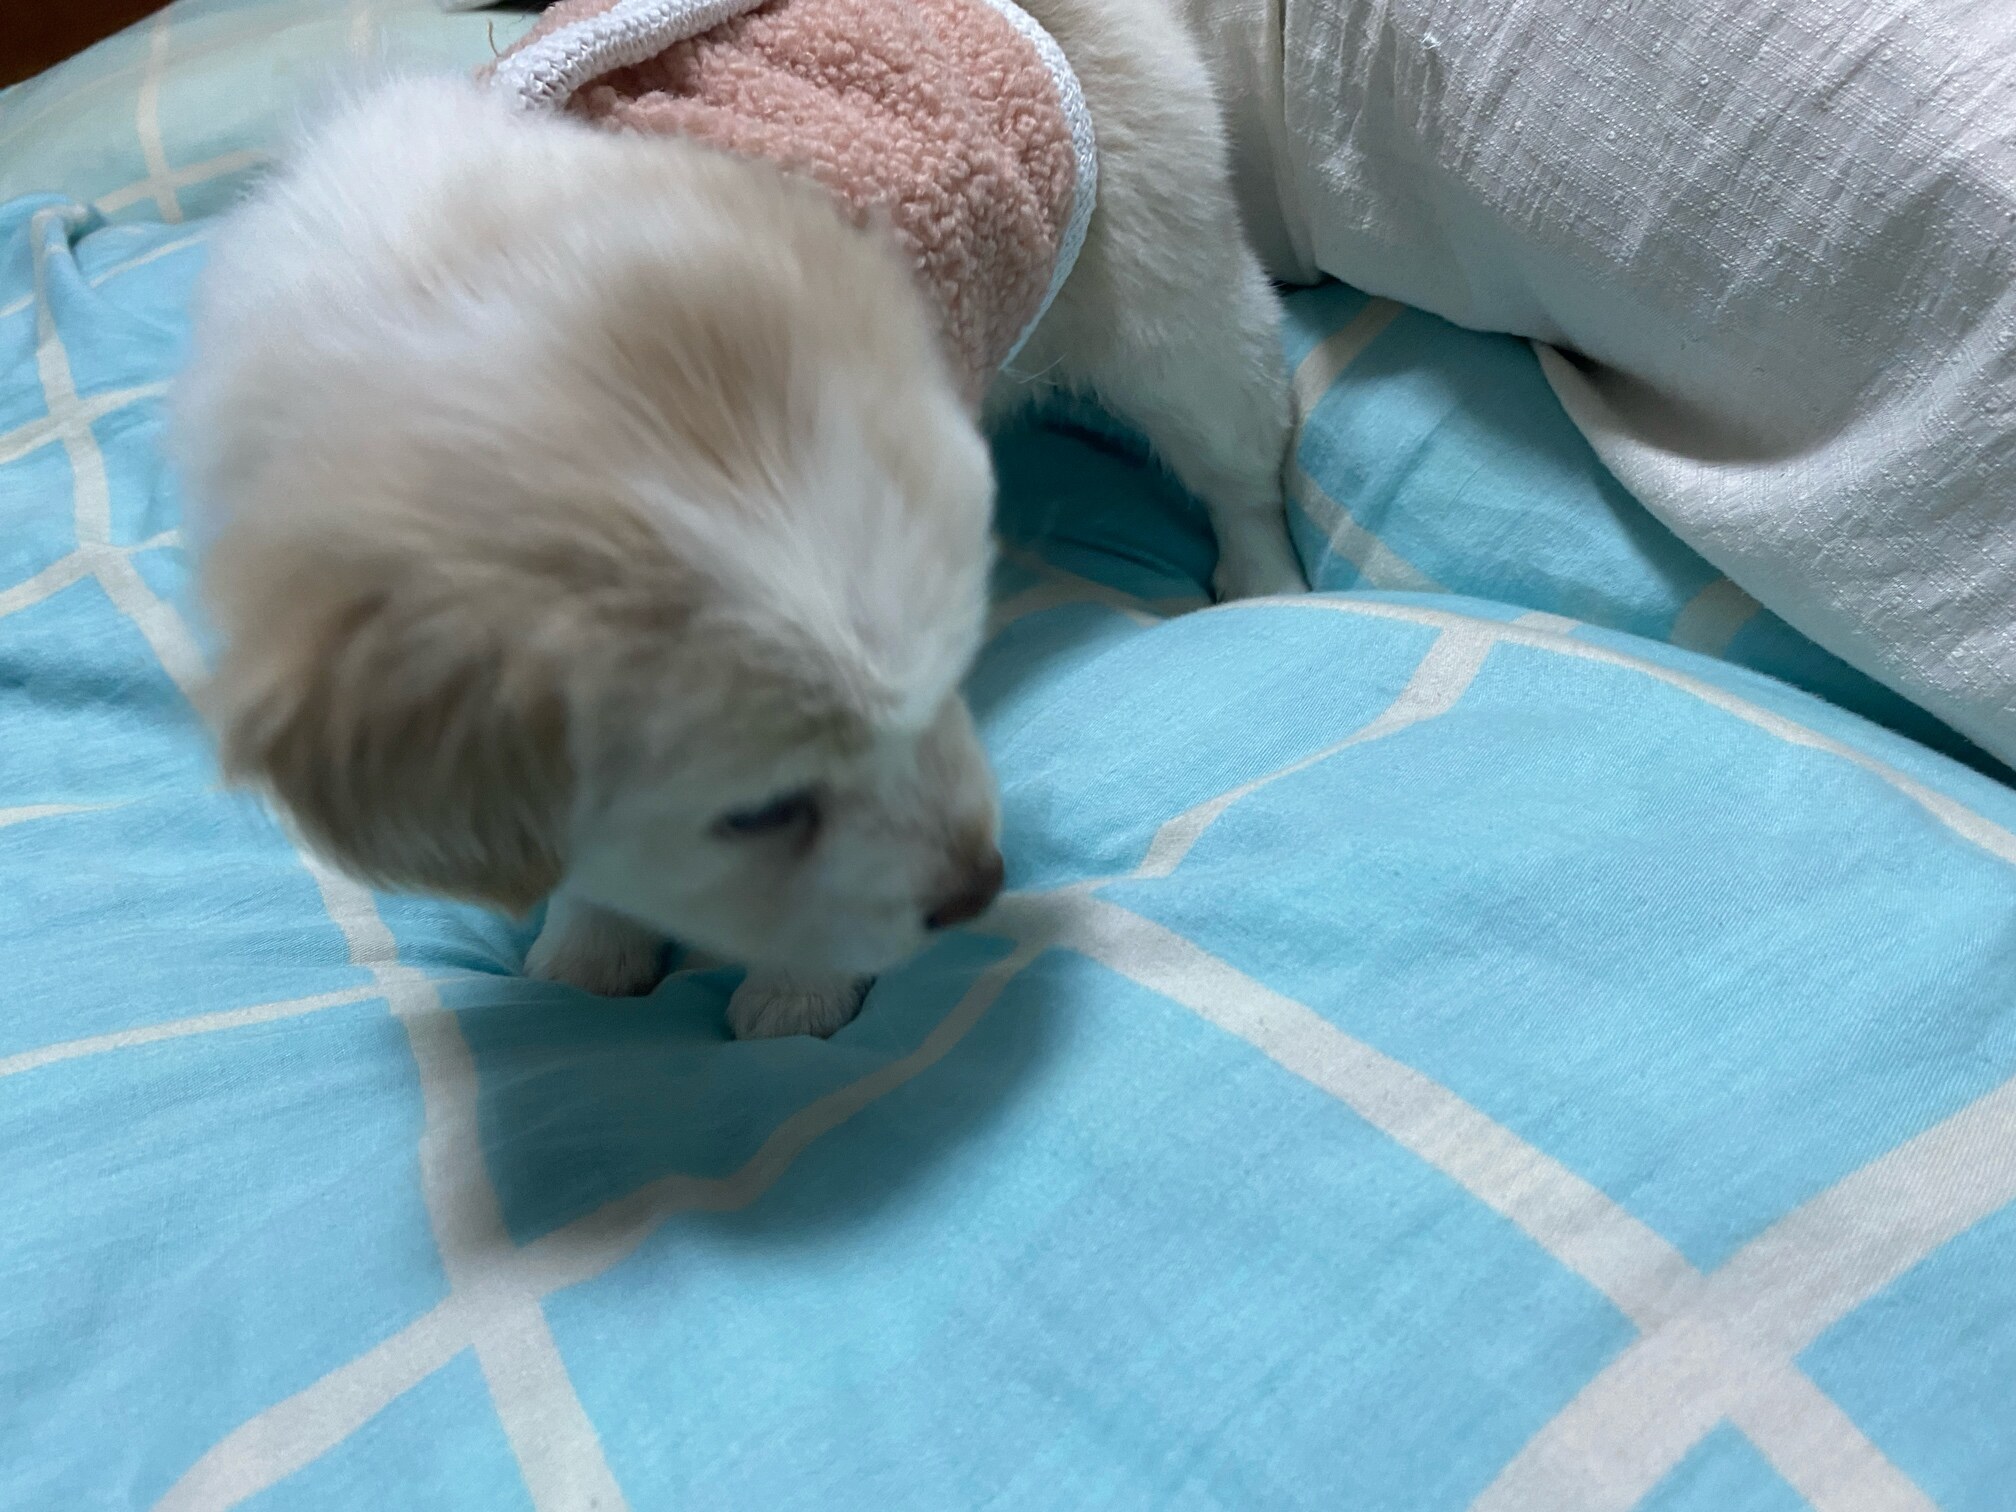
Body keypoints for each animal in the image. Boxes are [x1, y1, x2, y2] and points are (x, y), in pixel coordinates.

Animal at [173, 0, 1304, 1038]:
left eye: (952, 680)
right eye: (760, 814)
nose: (982, 885)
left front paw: (793, 995)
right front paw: (593, 948)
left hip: (1177, 310)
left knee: (1240, 452)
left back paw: (1266, 582)